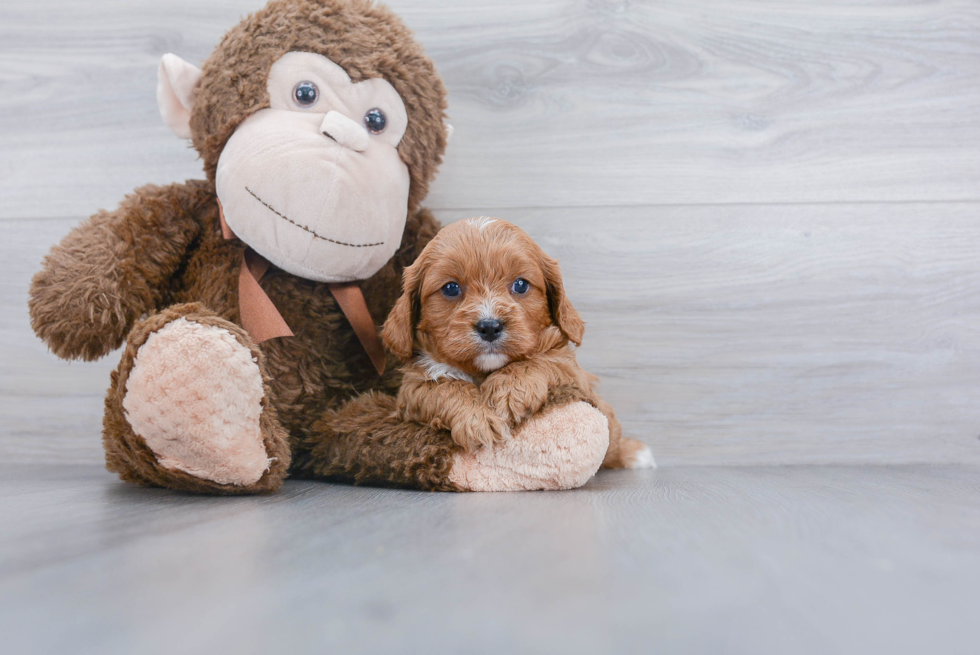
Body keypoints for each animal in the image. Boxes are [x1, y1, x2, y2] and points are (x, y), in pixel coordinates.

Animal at [380, 218, 652, 468]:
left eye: (520, 284)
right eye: (450, 288)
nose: (490, 326)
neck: (483, 371)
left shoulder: (574, 374)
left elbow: (541, 360)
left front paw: (509, 390)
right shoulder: (413, 386)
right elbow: (444, 386)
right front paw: (478, 419)